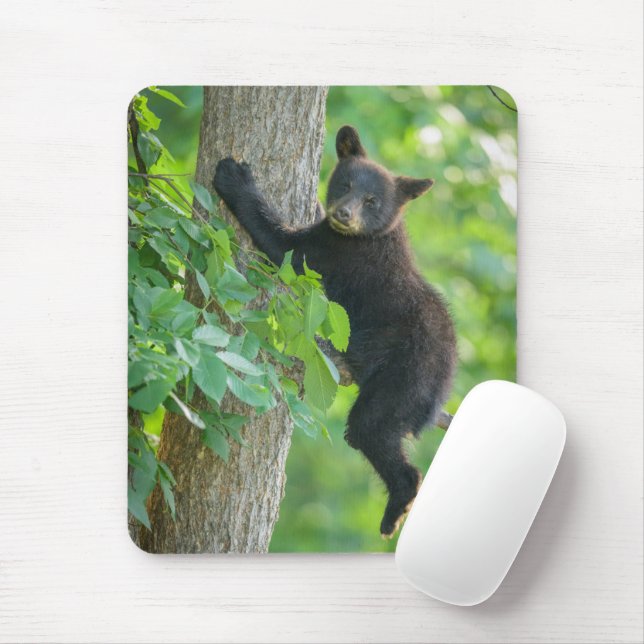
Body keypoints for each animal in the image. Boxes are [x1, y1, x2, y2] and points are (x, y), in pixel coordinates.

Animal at [213, 125, 457, 538]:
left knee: (370, 429)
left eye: (372, 201)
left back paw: (395, 511)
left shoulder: (338, 253)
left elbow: (285, 247)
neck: (369, 236)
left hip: (404, 378)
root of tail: (444, 386)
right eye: (345, 184)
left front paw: (234, 177)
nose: (344, 213)